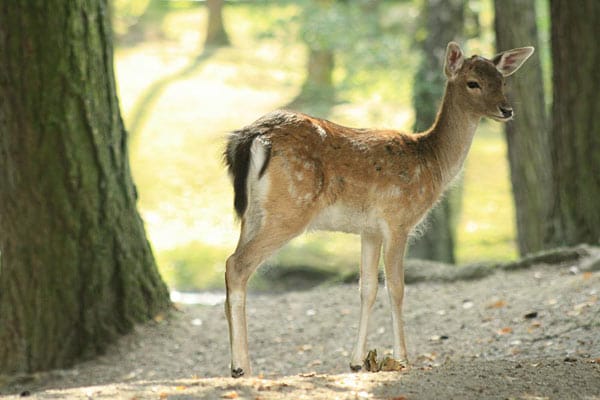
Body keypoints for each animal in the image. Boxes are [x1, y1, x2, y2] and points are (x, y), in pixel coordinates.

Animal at [223, 42, 532, 376]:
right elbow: (396, 287)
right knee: (237, 265)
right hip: (290, 209)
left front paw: (358, 361)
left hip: (252, 213)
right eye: (472, 83)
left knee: (232, 264)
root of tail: (252, 136)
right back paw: (242, 367)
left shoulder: (369, 229)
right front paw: (403, 358)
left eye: (502, 81)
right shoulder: (398, 219)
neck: (431, 164)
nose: (507, 110)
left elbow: (367, 287)